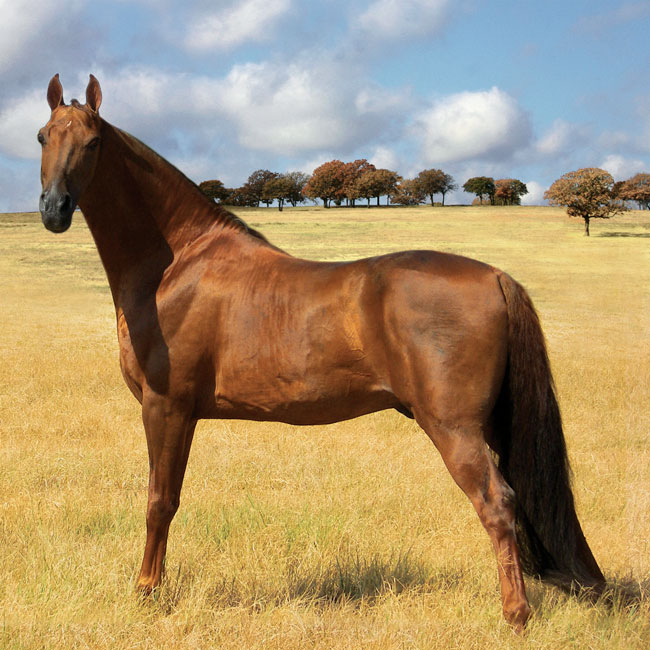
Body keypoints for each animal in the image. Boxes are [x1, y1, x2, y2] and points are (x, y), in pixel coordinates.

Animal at [35, 73, 604, 632]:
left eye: (93, 142)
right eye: (43, 137)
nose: (53, 209)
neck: (179, 264)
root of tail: (495, 276)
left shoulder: (166, 407)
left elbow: (160, 501)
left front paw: (147, 591)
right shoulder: (181, 413)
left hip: (455, 428)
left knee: (497, 504)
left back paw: (516, 614)